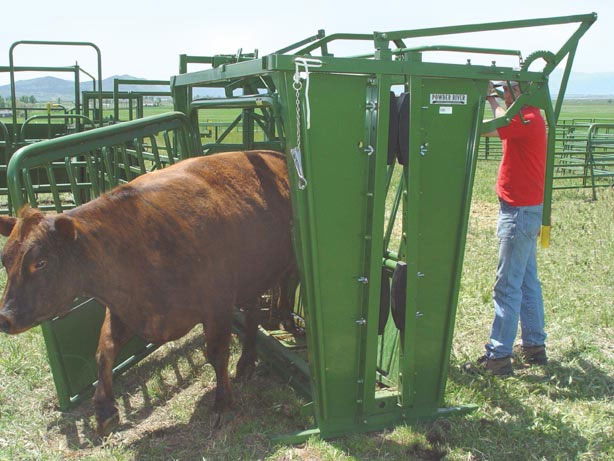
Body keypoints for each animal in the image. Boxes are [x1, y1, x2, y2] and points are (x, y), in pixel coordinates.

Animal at [0, 149, 296, 434]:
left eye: (40, 262)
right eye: (4, 260)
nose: (5, 318)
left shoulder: (218, 306)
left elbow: (216, 352)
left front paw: (222, 402)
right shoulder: (122, 307)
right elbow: (104, 351)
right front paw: (104, 410)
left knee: (286, 285)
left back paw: (283, 320)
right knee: (254, 311)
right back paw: (248, 359)